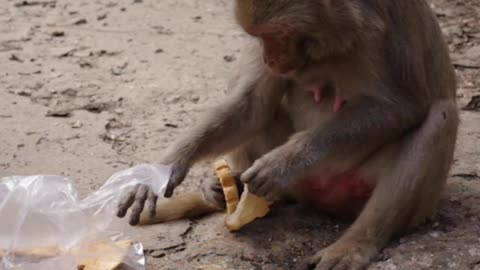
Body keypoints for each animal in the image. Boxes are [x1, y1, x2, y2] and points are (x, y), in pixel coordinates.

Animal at [116, 1, 458, 268]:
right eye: (259, 36)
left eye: (277, 34)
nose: (269, 58)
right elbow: (252, 106)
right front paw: (159, 171)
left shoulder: (387, 26)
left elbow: (401, 107)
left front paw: (282, 162)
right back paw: (225, 189)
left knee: (439, 118)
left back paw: (355, 242)